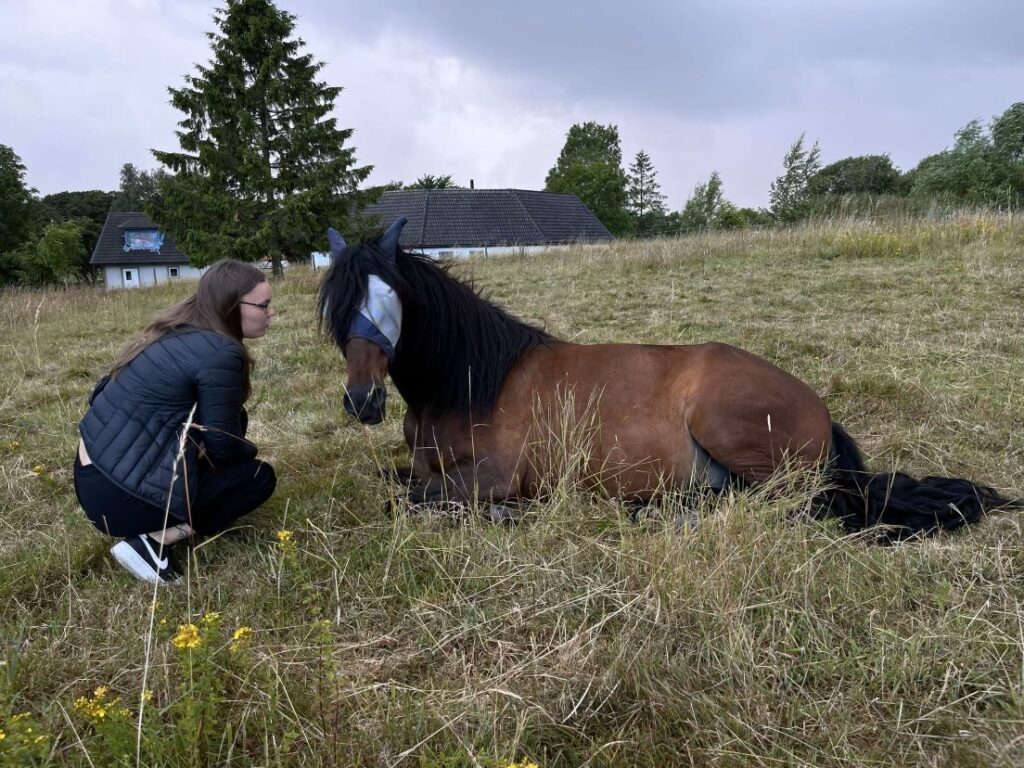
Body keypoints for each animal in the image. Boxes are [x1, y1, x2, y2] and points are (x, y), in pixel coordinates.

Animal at [317, 219, 1015, 536]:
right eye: (338, 307)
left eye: (389, 300)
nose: (362, 402)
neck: (471, 385)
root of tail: (818, 409)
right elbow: (399, 484)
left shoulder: (494, 475)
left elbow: (413, 500)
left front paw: (507, 516)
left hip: (736, 435)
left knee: (789, 504)